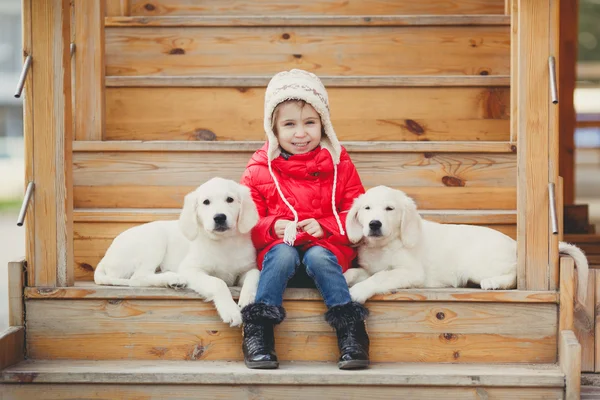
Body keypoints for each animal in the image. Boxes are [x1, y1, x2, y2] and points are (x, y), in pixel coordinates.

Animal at [95, 177, 258, 326]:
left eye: (230, 199)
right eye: (206, 202)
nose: (219, 217)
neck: (224, 243)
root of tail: (106, 257)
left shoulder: (246, 268)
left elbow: (255, 274)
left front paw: (249, 300)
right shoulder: (190, 269)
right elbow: (218, 282)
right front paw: (230, 311)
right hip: (155, 239)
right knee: (138, 277)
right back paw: (174, 278)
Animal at [344, 186, 588, 304]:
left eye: (390, 209)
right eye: (366, 208)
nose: (374, 224)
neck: (384, 245)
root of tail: (515, 244)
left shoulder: (411, 272)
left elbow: (380, 277)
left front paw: (358, 291)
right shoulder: (368, 268)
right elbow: (357, 272)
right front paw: (345, 278)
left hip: (479, 265)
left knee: (514, 275)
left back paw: (493, 283)